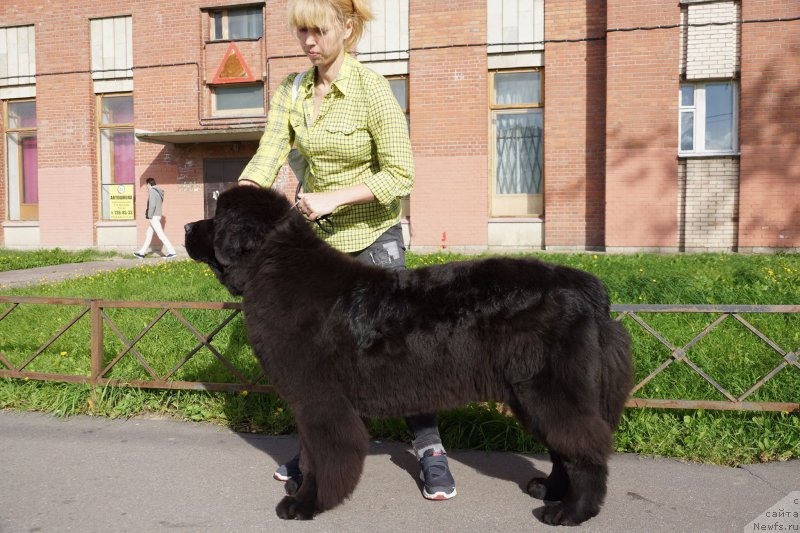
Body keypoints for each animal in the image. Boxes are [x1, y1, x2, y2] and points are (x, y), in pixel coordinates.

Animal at [184, 186, 636, 524]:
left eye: (216, 217)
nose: (187, 224)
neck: (273, 265)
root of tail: (587, 287)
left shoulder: (320, 402)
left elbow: (323, 458)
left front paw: (306, 503)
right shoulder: (309, 403)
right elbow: (311, 455)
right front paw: (302, 489)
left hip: (550, 392)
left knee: (584, 450)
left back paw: (571, 512)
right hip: (532, 395)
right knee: (564, 449)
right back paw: (550, 491)